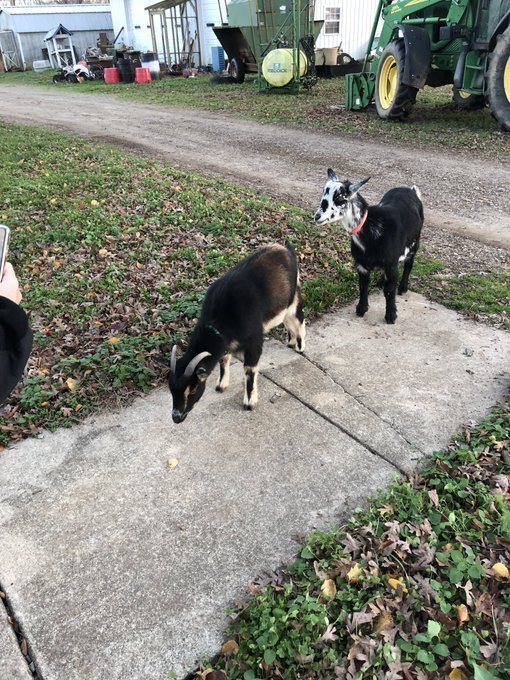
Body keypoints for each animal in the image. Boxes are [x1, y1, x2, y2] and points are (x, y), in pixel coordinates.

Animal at [168, 243, 306, 423]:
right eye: (171, 390)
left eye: (192, 389)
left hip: (292, 299)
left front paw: (249, 403)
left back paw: (300, 347)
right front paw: (221, 385)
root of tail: (285, 248)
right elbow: (224, 359)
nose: (176, 417)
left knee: (298, 318)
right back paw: (290, 342)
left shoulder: (254, 339)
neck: (221, 318)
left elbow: (249, 369)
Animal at [314, 170, 424, 324]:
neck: (373, 228)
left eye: (340, 198)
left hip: (415, 243)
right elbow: (363, 286)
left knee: (409, 263)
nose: (317, 216)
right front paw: (361, 309)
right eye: (323, 193)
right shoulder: (361, 265)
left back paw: (403, 287)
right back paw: (381, 282)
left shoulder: (391, 264)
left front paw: (391, 316)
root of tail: (411, 190)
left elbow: (390, 291)